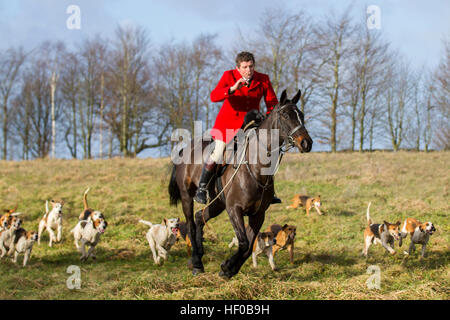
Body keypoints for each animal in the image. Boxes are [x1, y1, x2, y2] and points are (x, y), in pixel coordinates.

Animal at [169, 89, 312, 278]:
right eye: (285, 115)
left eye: (301, 115)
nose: (306, 143)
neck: (256, 167)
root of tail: (185, 149)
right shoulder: (234, 209)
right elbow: (244, 242)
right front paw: (227, 267)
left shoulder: (258, 214)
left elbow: (249, 245)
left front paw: (229, 268)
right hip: (187, 197)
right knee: (191, 224)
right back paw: (197, 263)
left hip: (218, 202)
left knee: (200, 217)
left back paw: (198, 258)